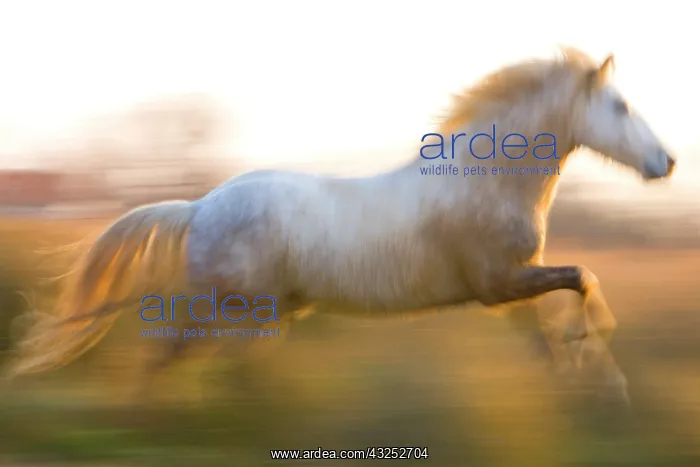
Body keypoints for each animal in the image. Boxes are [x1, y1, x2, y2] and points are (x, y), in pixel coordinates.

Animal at [3, 47, 676, 406]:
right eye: (620, 106)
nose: (665, 163)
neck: (483, 180)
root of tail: (199, 208)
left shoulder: (511, 289)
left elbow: (551, 334)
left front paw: (585, 383)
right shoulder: (500, 282)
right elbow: (584, 280)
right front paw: (607, 378)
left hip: (254, 312)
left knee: (197, 357)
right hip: (230, 307)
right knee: (171, 354)